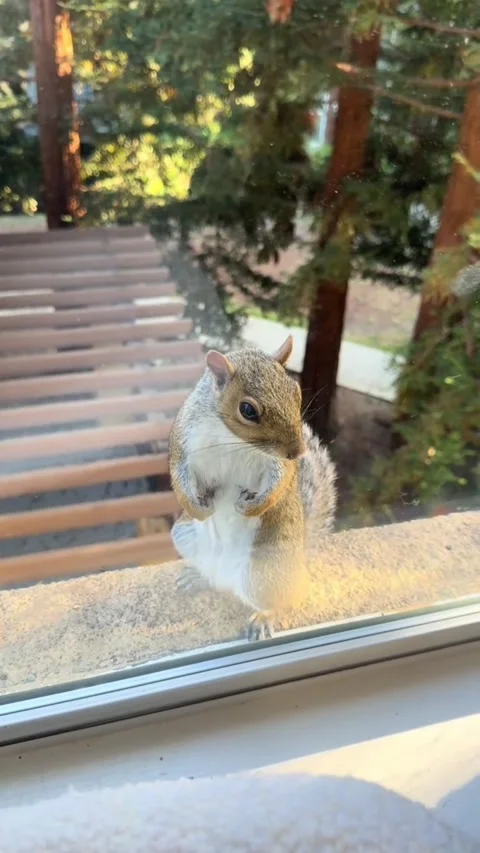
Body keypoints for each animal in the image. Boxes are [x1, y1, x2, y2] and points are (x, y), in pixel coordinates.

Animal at [168, 335, 337, 641]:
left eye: (296, 392)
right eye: (248, 410)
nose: (298, 451)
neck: (232, 438)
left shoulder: (279, 464)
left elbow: (280, 482)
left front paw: (250, 506)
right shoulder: (183, 443)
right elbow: (178, 477)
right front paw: (198, 508)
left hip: (263, 571)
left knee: (284, 600)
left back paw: (265, 617)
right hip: (186, 537)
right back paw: (198, 577)